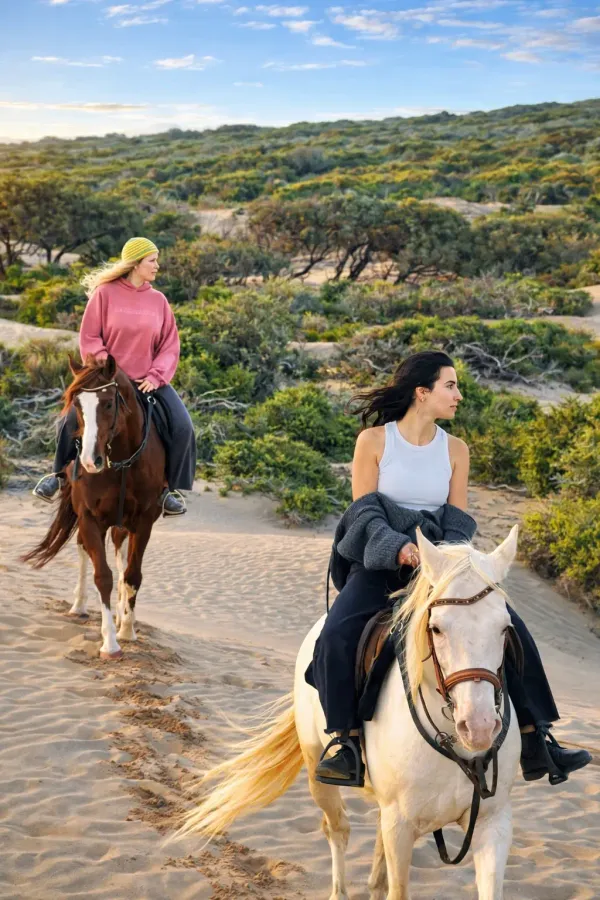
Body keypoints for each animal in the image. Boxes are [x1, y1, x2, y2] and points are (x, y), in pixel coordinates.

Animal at [22, 354, 166, 659]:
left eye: (109, 403)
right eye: (77, 405)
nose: (90, 461)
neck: (121, 461)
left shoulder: (144, 521)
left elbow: (132, 575)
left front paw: (127, 630)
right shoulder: (89, 517)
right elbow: (103, 576)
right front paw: (110, 643)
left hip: (121, 523)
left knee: (120, 555)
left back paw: (122, 615)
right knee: (82, 547)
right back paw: (79, 606)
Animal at [177, 525, 521, 900]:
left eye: (505, 629)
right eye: (437, 628)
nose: (479, 727)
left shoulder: (492, 825)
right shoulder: (400, 826)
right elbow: (396, 887)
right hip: (319, 775)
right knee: (337, 829)